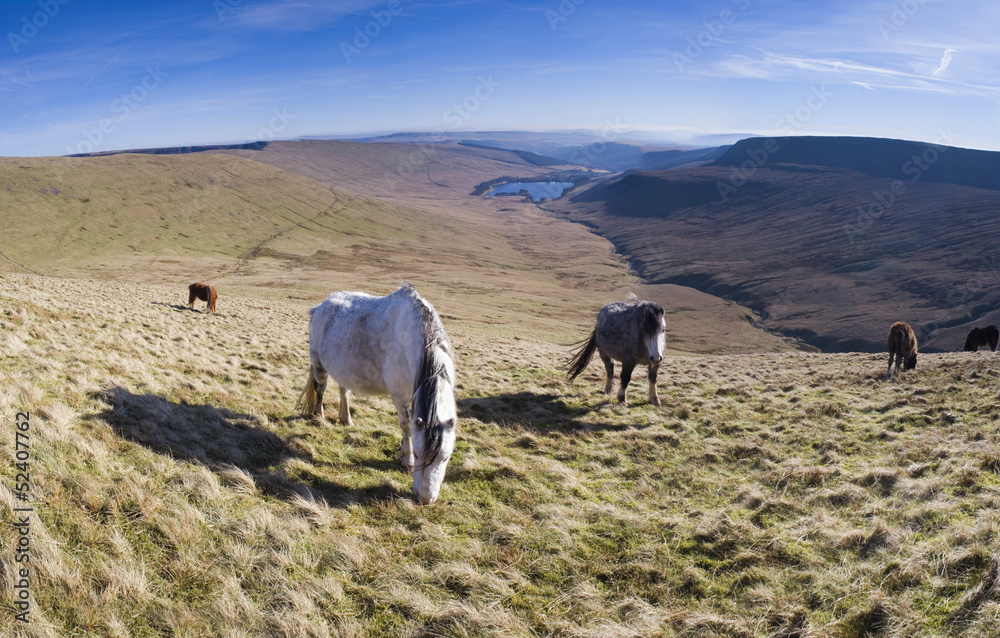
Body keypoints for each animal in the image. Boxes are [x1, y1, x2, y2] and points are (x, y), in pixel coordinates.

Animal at [297, 283, 457, 505]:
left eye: (446, 457)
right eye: (418, 454)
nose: (425, 498)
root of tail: (320, 306)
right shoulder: (399, 395)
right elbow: (407, 425)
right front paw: (407, 460)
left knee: (344, 391)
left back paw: (346, 419)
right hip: (318, 364)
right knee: (321, 389)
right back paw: (319, 417)